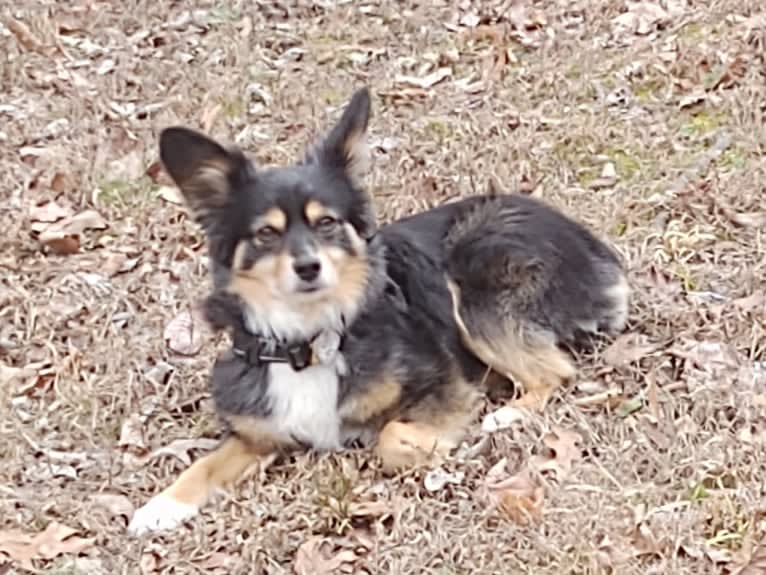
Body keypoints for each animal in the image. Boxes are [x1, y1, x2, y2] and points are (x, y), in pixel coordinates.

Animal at [127, 86, 632, 536]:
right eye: (265, 233)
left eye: (326, 222)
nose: (308, 267)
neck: (310, 340)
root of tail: (593, 248)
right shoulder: (259, 429)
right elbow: (207, 463)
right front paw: (162, 506)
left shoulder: (444, 382)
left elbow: (391, 436)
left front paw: (434, 449)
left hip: (473, 273)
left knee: (555, 373)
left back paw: (506, 415)